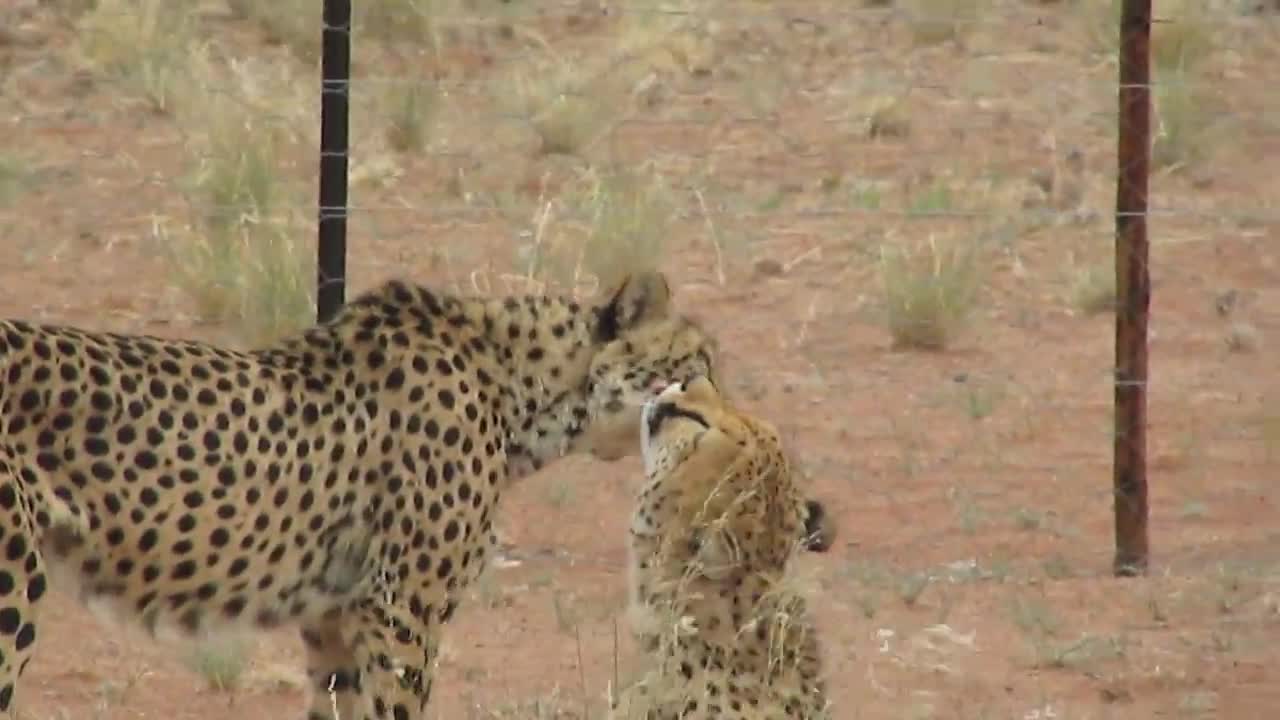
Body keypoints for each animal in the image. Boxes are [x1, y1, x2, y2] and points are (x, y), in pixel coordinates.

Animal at [0, 270, 721, 717]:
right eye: (701, 363)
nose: (724, 403)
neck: (519, 386)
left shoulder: (333, 617)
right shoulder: (400, 609)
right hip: (14, 590)